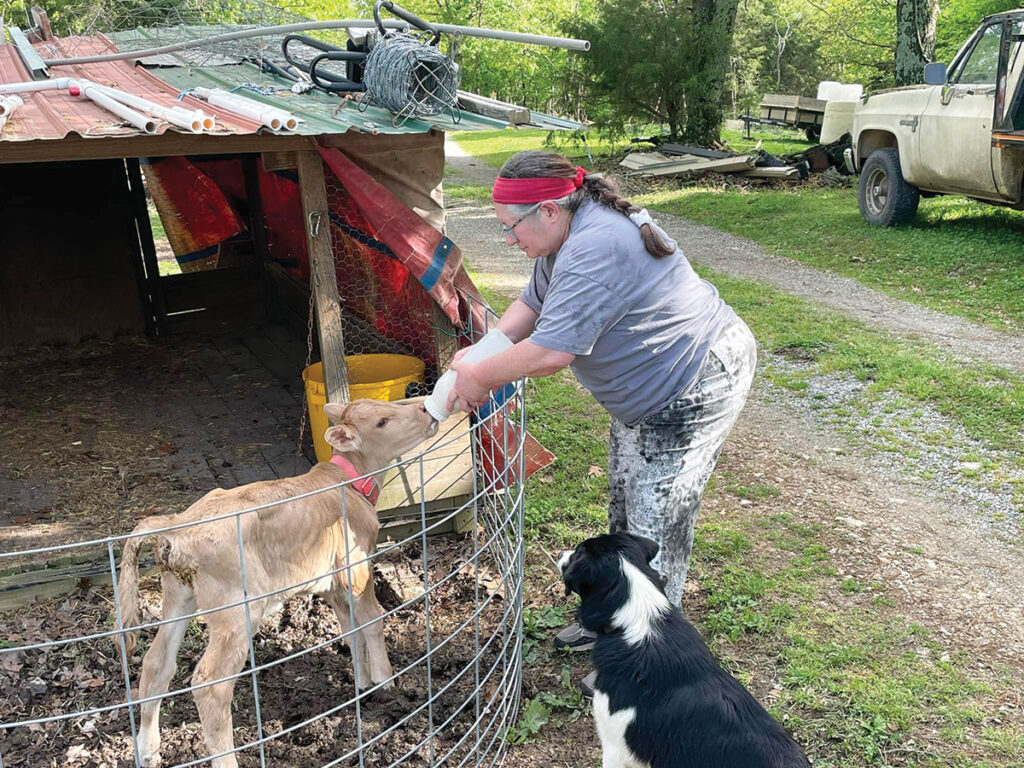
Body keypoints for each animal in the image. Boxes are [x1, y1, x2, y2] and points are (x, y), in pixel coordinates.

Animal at [117, 399, 438, 765]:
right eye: (383, 421)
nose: (425, 409)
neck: (346, 482)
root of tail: (179, 523)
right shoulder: (356, 570)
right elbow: (372, 620)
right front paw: (386, 686)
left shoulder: (331, 584)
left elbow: (350, 628)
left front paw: (362, 684)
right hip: (237, 609)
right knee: (210, 684)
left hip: (178, 595)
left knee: (156, 664)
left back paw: (147, 751)